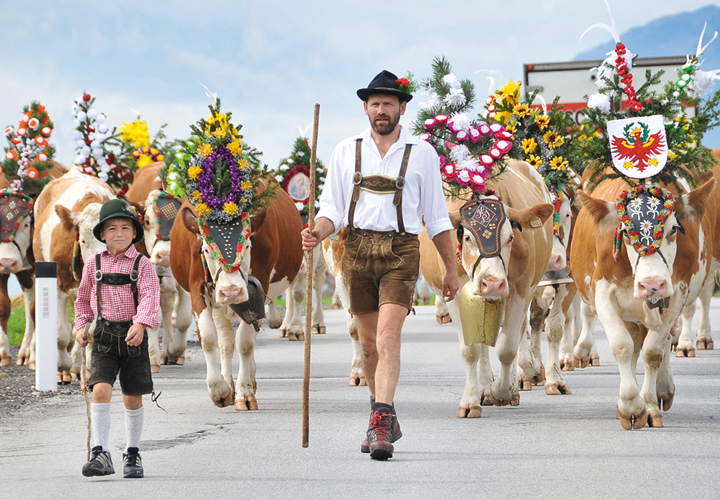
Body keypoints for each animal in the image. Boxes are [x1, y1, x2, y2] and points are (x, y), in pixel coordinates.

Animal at [124, 162, 193, 370]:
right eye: (147, 221)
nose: (165, 257)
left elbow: (184, 317)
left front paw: (176, 351)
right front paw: (152, 357)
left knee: (168, 303)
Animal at [420, 159, 556, 414]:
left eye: (511, 237)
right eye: (467, 238)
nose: (492, 284)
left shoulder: (520, 290)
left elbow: (507, 347)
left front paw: (502, 391)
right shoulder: (454, 295)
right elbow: (470, 349)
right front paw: (470, 400)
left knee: (518, 333)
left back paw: (515, 383)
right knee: (482, 341)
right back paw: (483, 386)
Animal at [572, 174, 716, 428]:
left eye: (673, 229)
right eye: (625, 233)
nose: (651, 285)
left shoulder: (677, 293)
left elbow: (654, 351)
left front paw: (648, 406)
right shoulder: (602, 292)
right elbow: (622, 346)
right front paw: (630, 404)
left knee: (662, 342)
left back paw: (663, 389)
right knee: (633, 344)